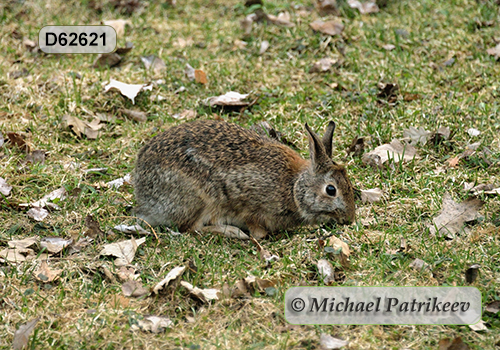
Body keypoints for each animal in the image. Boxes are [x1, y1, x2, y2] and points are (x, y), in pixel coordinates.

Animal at [133, 119, 356, 238]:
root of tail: (144, 198)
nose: (349, 219)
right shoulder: (251, 203)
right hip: (197, 199)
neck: (293, 188)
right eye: (331, 190)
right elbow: (258, 229)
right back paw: (232, 232)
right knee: (190, 228)